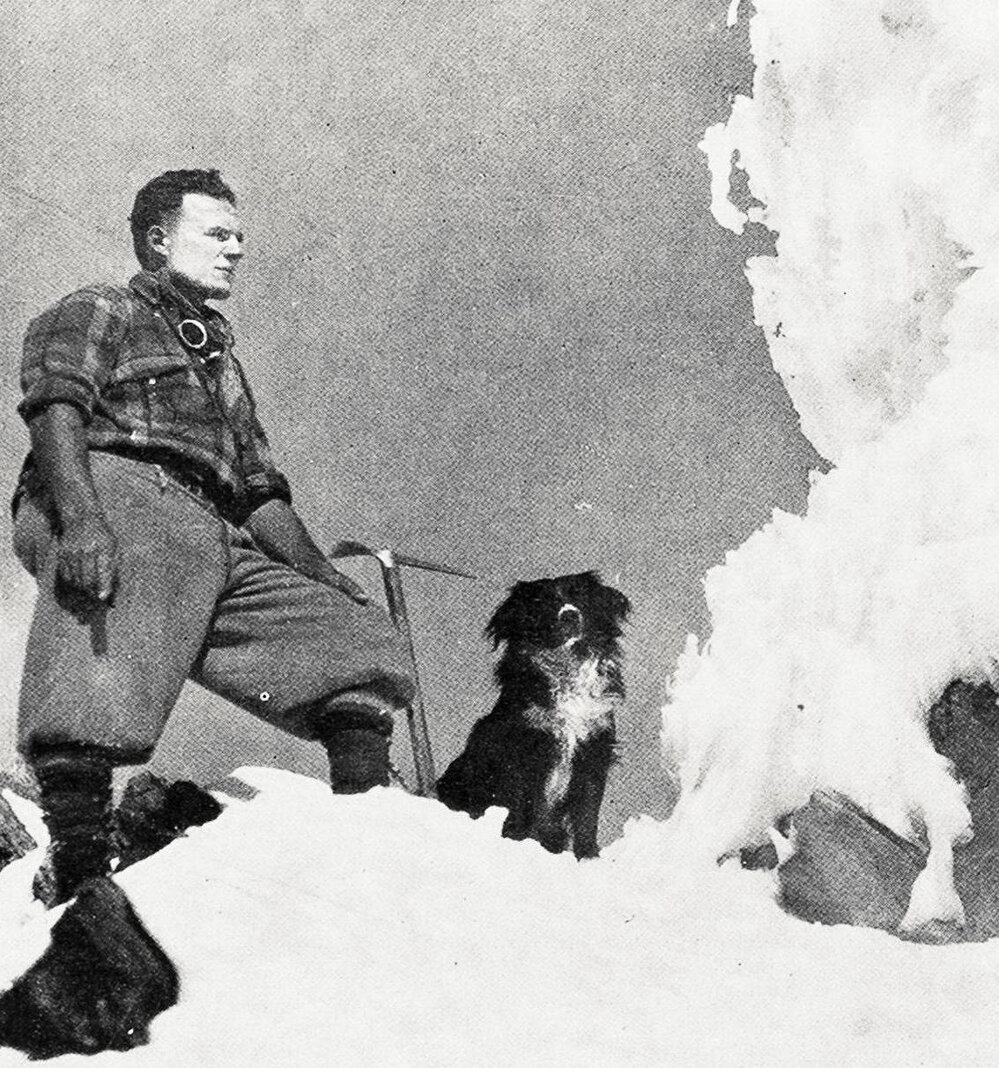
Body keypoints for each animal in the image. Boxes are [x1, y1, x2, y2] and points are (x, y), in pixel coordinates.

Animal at [437, 571, 630, 858]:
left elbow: (587, 811)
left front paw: (588, 856)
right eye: (543, 603)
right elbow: (526, 806)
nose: (570, 615)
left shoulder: (594, 748)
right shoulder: (525, 747)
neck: (566, 670)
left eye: (580, 596)